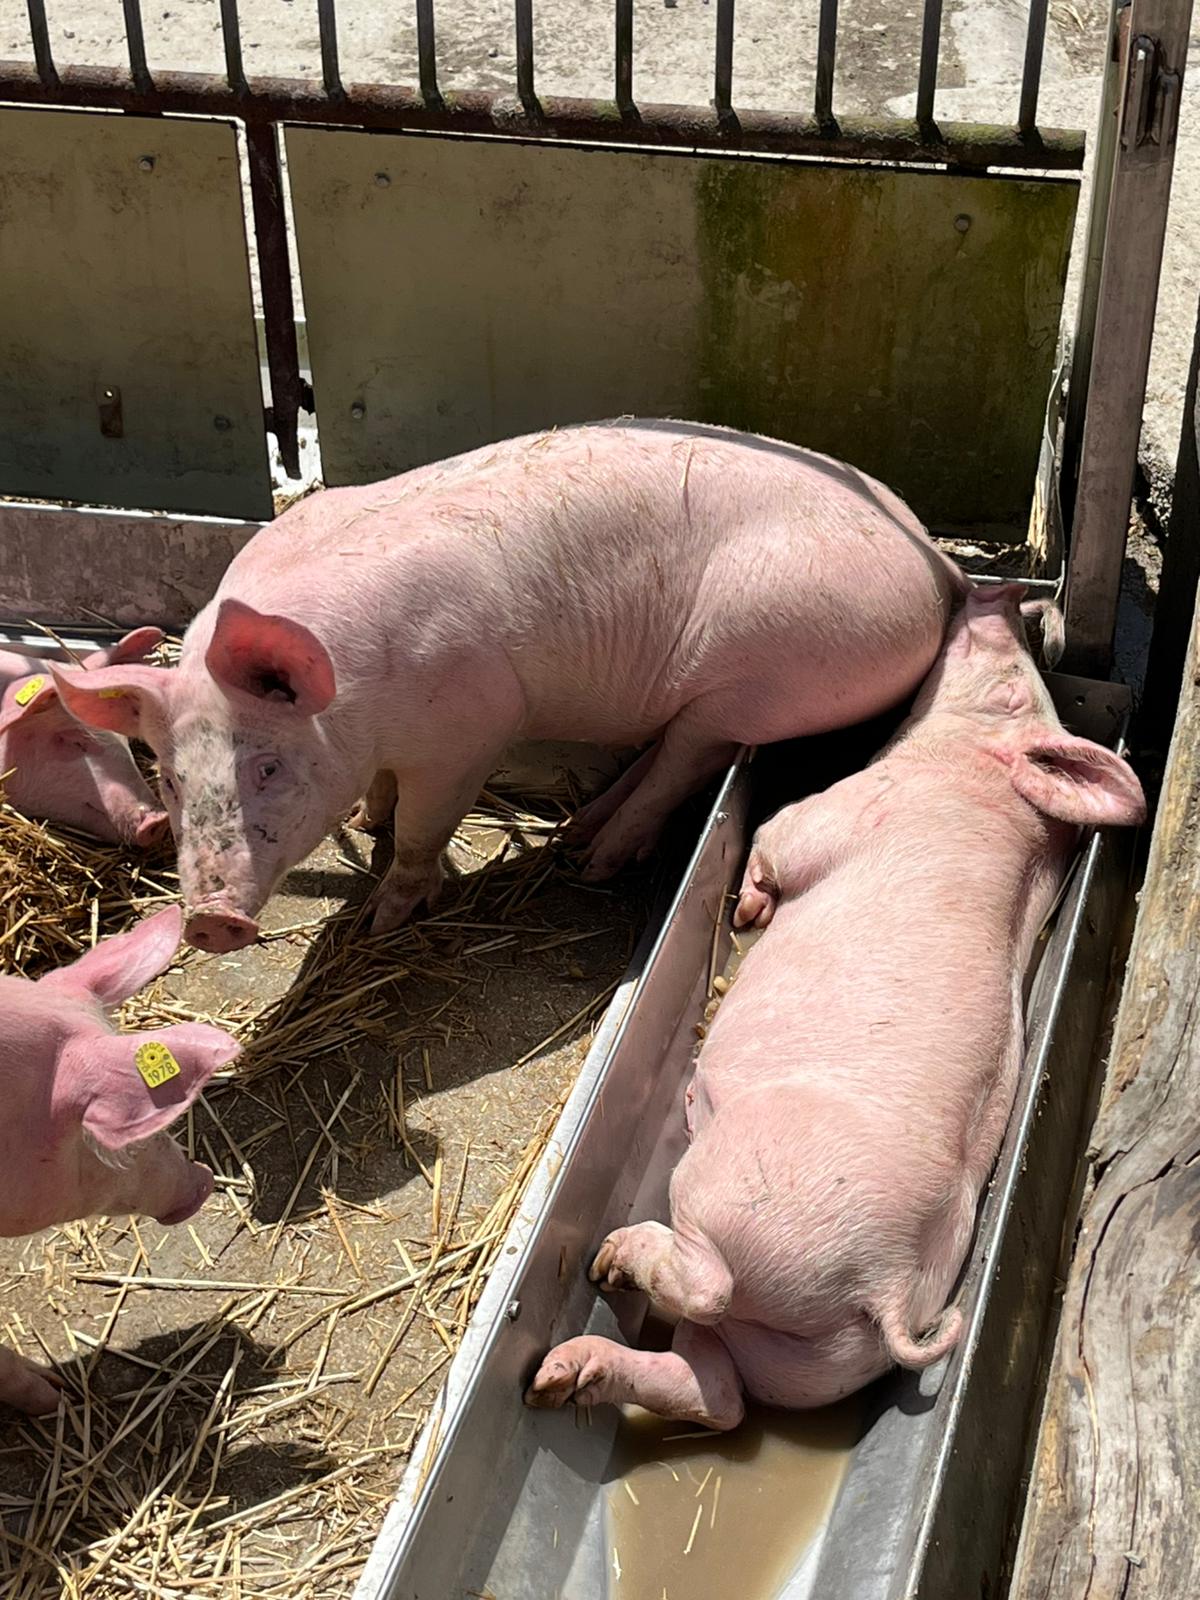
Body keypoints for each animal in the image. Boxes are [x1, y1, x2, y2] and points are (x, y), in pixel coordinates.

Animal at [50, 421, 965, 955]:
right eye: (171, 777)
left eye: (267, 767)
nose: (211, 919)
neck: (361, 701)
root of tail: (936, 560)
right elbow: (382, 801)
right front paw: (365, 818)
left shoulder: (471, 728)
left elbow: (423, 833)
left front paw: (385, 917)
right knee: (665, 750)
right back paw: (579, 833)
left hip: (763, 666)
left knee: (689, 757)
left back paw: (593, 861)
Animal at [525, 584, 1145, 1429]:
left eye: (1014, 693)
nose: (1005, 592)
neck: (958, 764)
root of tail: (888, 1286)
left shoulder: (830, 813)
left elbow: (771, 838)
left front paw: (751, 910)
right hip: (807, 1360)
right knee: (720, 1396)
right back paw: (561, 1376)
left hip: (732, 1192)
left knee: (709, 1296)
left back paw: (613, 1259)